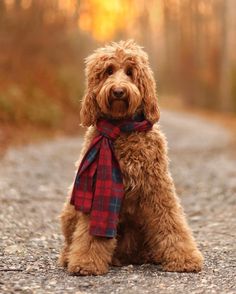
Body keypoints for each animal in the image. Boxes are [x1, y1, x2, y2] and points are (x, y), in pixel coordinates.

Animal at [58, 40, 203, 274]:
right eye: (108, 71)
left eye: (130, 72)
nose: (118, 91)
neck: (122, 127)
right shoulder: (96, 190)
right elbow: (89, 235)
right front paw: (86, 262)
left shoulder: (158, 187)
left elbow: (172, 223)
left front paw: (185, 258)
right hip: (71, 207)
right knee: (70, 241)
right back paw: (68, 256)